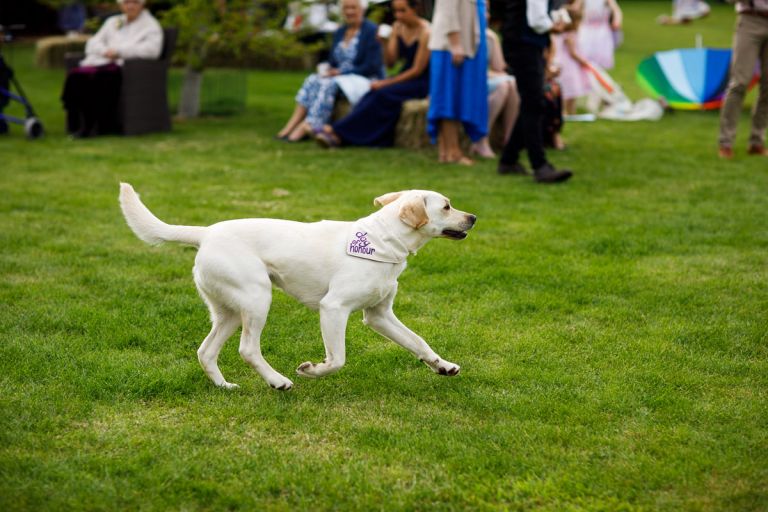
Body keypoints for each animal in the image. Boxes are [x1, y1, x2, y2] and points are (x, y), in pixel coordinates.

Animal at [118, 186, 474, 390]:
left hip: (230, 312)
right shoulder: (334, 309)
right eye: (446, 206)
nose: (473, 217)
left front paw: (443, 366)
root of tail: (206, 233)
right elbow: (337, 359)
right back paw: (278, 382)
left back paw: (225, 386)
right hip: (258, 299)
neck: (383, 241)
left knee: (206, 352)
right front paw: (311, 371)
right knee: (248, 349)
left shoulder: (379, 315)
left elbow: (418, 342)